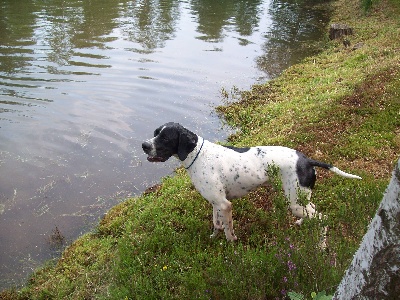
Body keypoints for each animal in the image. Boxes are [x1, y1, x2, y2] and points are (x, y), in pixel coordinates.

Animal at [142, 122, 360, 241]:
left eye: (165, 138)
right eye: (155, 133)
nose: (144, 145)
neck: (198, 155)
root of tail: (306, 160)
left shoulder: (225, 204)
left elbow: (228, 230)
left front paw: (231, 244)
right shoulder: (215, 203)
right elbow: (217, 224)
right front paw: (213, 238)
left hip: (296, 202)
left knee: (323, 219)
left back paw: (322, 246)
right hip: (300, 200)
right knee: (313, 211)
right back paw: (302, 223)